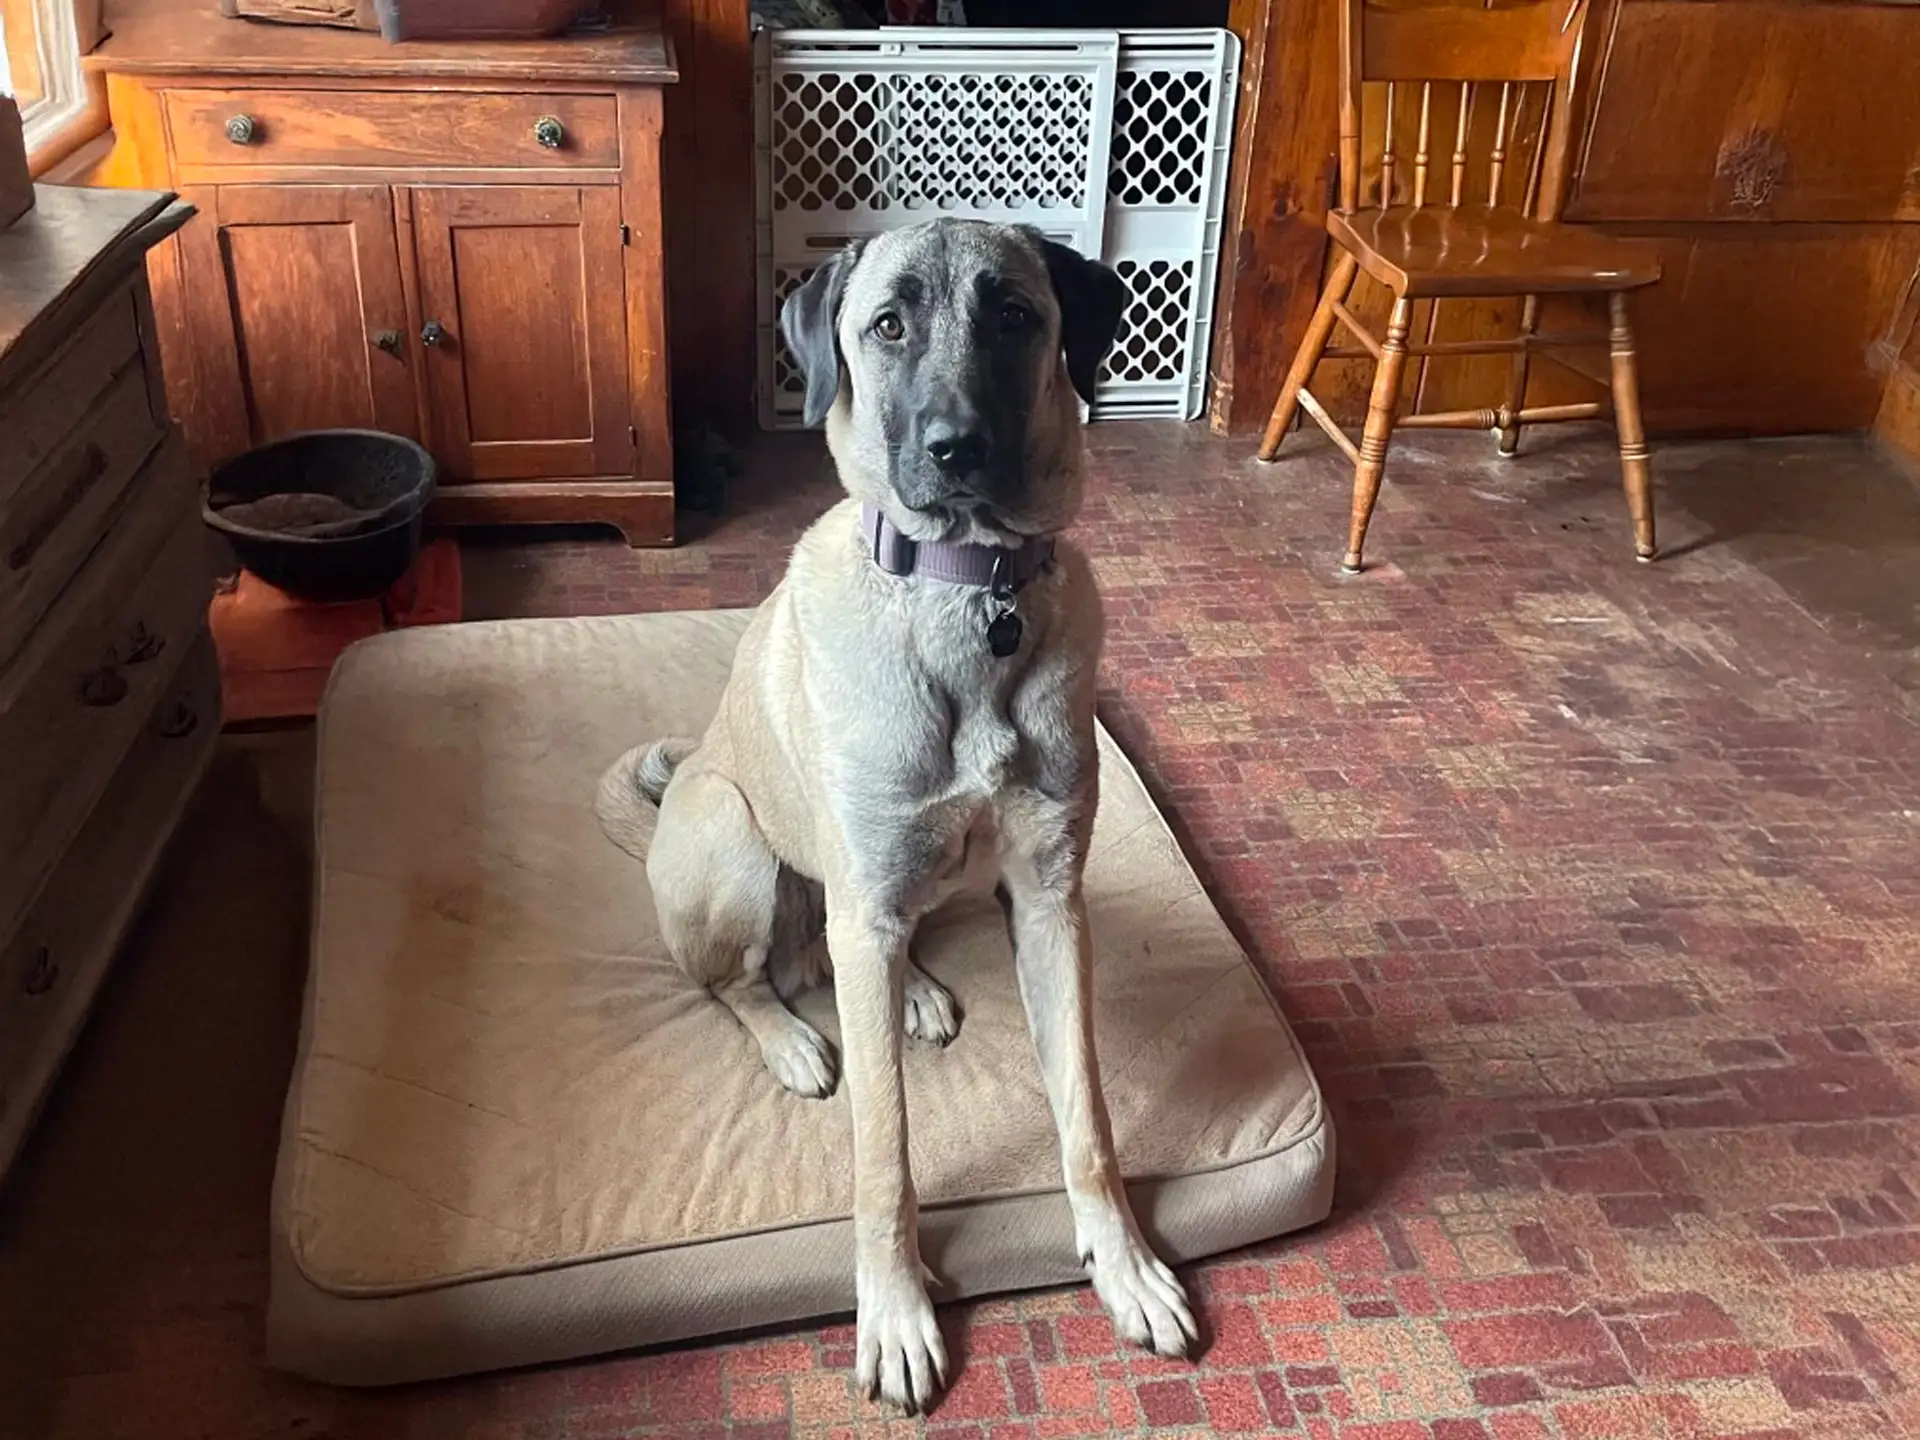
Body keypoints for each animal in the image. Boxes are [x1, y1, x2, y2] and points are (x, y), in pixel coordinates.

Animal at [599, 219, 1198, 1413]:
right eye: (887, 326)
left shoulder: (1050, 903)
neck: (967, 588)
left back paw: (911, 988)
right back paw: (791, 1037)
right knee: (745, 983)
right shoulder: (865, 905)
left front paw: (1126, 1266)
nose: (956, 448)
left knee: (849, 952)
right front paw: (896, 1309)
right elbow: (886, 1153)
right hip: (736, 841)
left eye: (1015, 314)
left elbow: (1088, 1118)